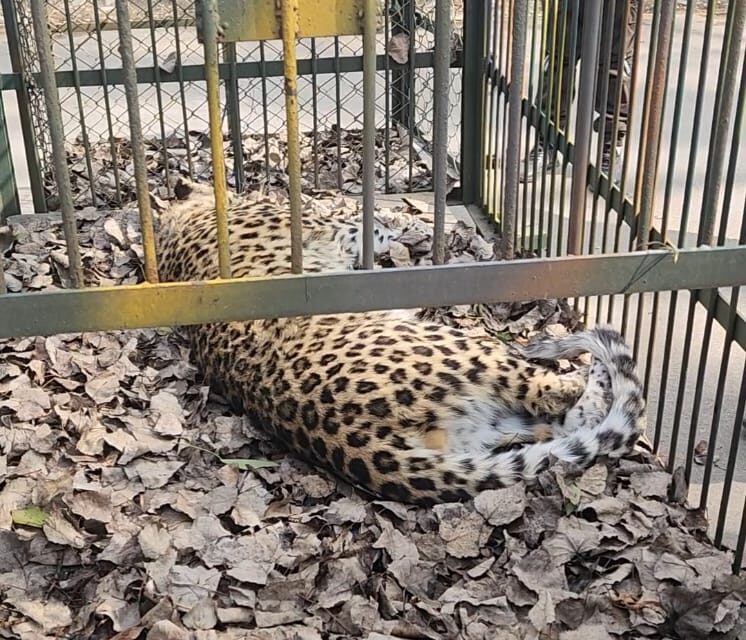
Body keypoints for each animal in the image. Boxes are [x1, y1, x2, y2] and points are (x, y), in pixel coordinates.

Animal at [155, 178, 647, 506]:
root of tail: (363, 446)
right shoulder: (333, 231)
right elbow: (368, 225)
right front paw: (402, 221)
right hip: (464, 347)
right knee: (569, 396)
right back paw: (589, 365)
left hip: (487, 426)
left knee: (567, 421)